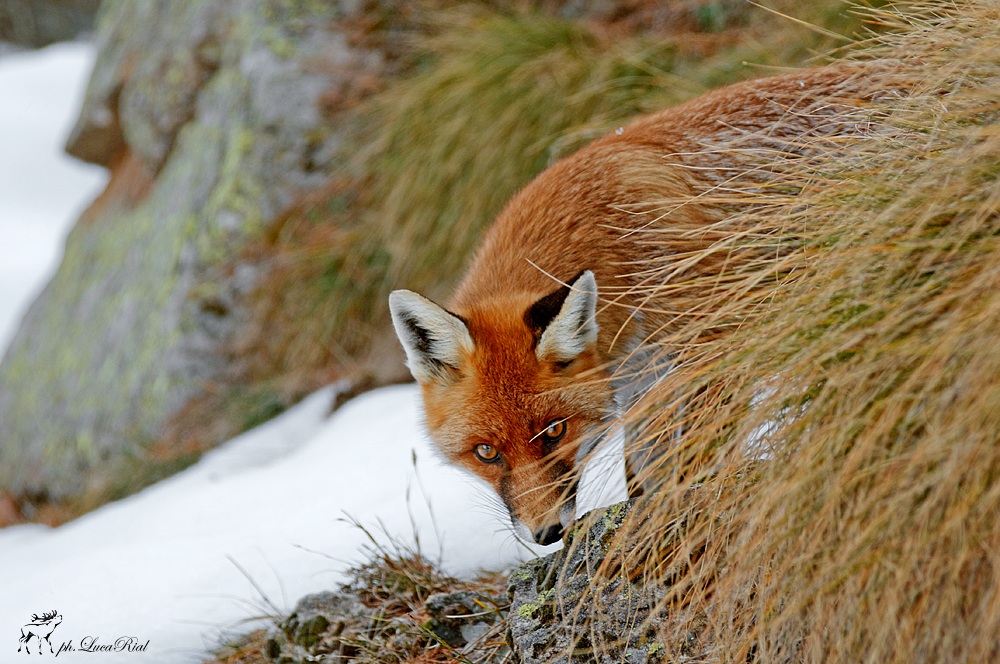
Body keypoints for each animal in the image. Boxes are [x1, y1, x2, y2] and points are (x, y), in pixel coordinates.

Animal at [389, 65, 882, 545]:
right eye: (486, 452)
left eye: (556, 430)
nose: (547, 534)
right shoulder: (643, 384)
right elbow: (645, 473)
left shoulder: (715, 348)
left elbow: (699, 458)